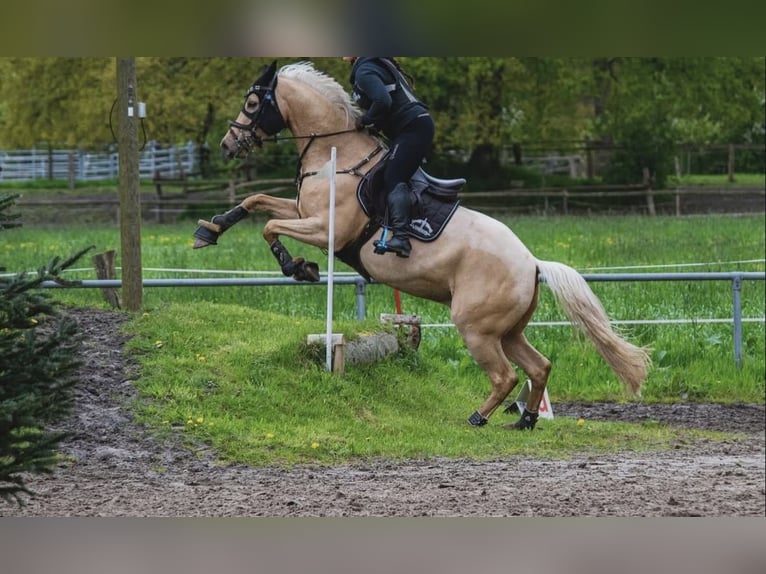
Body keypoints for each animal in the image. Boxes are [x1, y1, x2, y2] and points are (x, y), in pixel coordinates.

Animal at [193, 60, 651, 430]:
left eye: (253, 103)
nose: (227, 145)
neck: (334, 155)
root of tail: (532, 263)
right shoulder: (304, 211)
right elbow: (256, 202)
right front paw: (210, 229)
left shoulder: (326, 230)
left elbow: (270, 226)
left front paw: (298, 267)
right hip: (507, 330)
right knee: (539, 367)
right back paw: (525, 421)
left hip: (475, 327)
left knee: (505, 376)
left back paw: (478, 417)